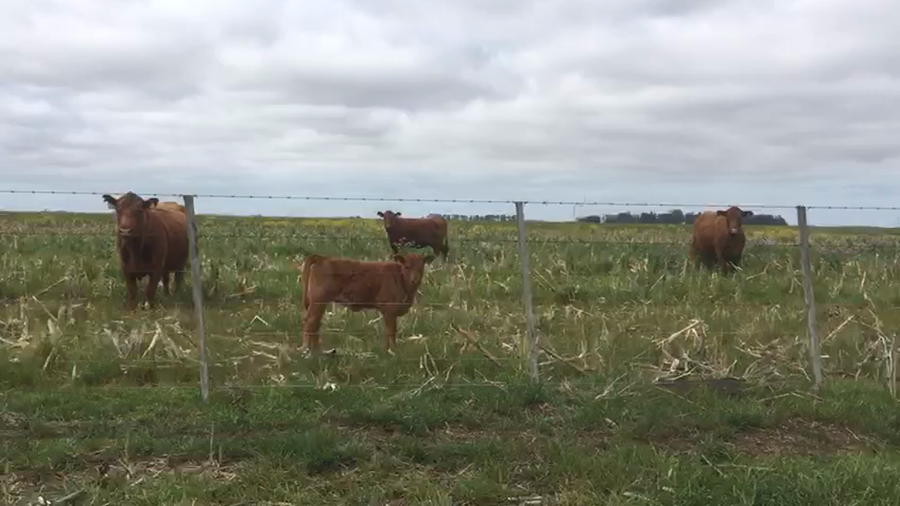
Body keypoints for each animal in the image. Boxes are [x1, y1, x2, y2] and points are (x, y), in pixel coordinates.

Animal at [300, 252, 435, 352]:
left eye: (421, 266)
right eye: (407, 266)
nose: (415, 279)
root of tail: (323, 258)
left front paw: (387, 349)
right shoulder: (389, 310)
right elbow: (391, 331)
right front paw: (392, 350)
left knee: (315, 323)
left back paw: (316, 349)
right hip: (319, 301)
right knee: (311, 322)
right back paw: (308, 350)